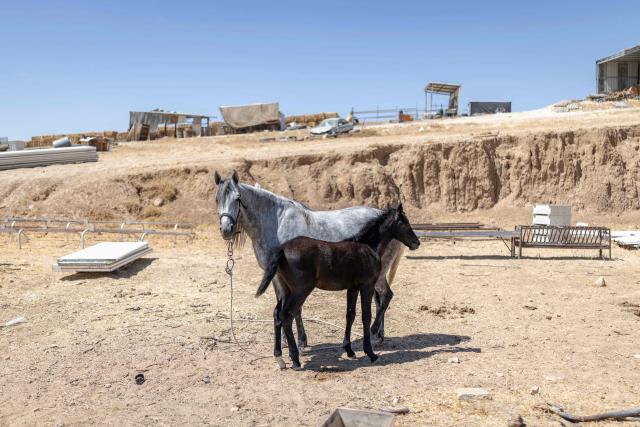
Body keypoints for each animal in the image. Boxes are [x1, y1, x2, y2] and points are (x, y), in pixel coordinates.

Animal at [214, 170, 415, 347]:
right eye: (217, 199)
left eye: (238, 198)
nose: (226, 230)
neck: (276, 223)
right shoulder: (277, 277)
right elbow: (283, 305)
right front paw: (287, 340)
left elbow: (295, 308)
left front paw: (300, 341)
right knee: (379, 299)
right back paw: (378, 336)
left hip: (378, 274)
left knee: (386, 296)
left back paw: (374, 335)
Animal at [254, 205, 420, 368]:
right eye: (404, 222)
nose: (416, 242)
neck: (367, 246)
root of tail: (282, 249)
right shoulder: (367, 286)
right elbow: (366, 316)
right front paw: (370, 353)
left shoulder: (352, 288)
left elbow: (350, 315)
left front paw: (349, 350)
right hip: (300, 290)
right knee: (286, 315)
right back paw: (295, 358)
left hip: (285, 290)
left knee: (277, 314)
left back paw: (279, 357)